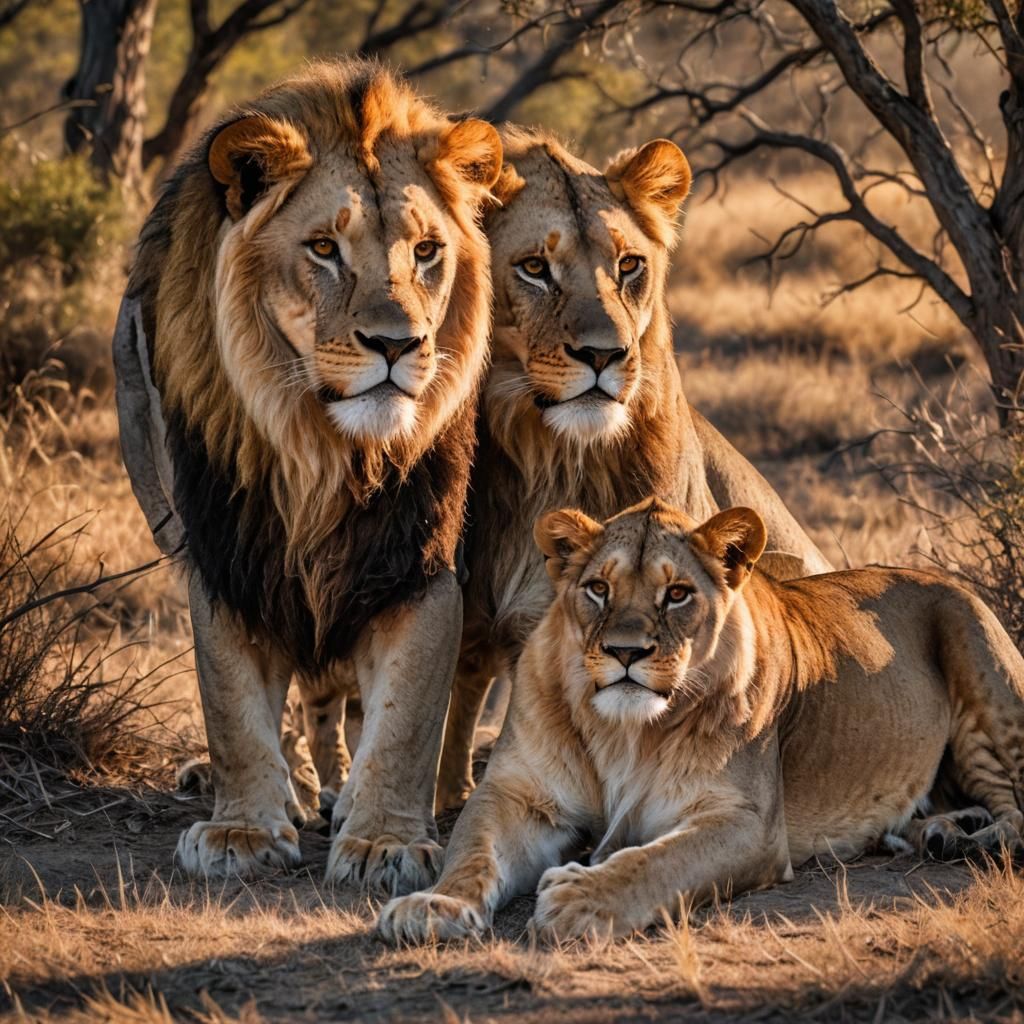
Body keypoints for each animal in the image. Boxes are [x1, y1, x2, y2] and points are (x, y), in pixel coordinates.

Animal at [113, 59, 502, 892]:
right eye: (324, 248)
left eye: (427, 251)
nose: (397, 344)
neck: (324, 453)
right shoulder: (225, 548)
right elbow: (231, 702)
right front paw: (244, 829)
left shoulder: (417, 561)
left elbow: (409, 714)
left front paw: (385, 838)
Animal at [379, 497, 1024, 943]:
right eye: (598, 588)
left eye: (677, 594)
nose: (626, 652)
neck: (624, 733)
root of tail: (941, 576)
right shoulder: (519, 797)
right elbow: (473, 850)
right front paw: (433, 905)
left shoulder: (748, 823)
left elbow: (658, 862)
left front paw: (580, 898)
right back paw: (937, 831)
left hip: (985, 681)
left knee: (1014, 809)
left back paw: (970, 839)